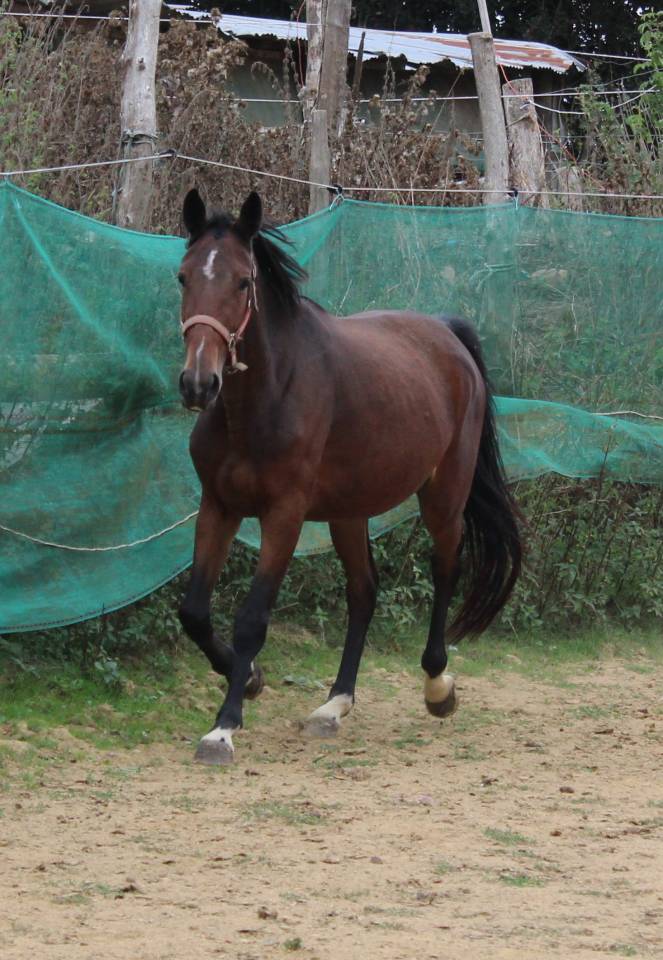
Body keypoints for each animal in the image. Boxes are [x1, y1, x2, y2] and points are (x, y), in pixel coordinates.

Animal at [176, 188, 522, 765]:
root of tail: (446, 334)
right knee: (364, 592)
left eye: (243, 282)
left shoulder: (284, 516)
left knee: (445, 571)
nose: (199, 384)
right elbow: (195, 613)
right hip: (348, 512)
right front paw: (250, 680)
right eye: (183, 276)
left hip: (443, 497)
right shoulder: (218, 507)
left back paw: (437, 686)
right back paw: (334, 704)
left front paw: (223, 728)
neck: (264, 400)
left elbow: (251, 618)